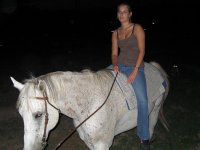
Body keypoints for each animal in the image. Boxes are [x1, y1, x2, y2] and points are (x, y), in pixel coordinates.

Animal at [9, 61, 169, 150]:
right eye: (21, 115)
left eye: (38, 115)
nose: (29, 149)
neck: (89, 104)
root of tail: (154, 66)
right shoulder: (89, 141)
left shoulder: (103, 144)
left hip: (154, 112)